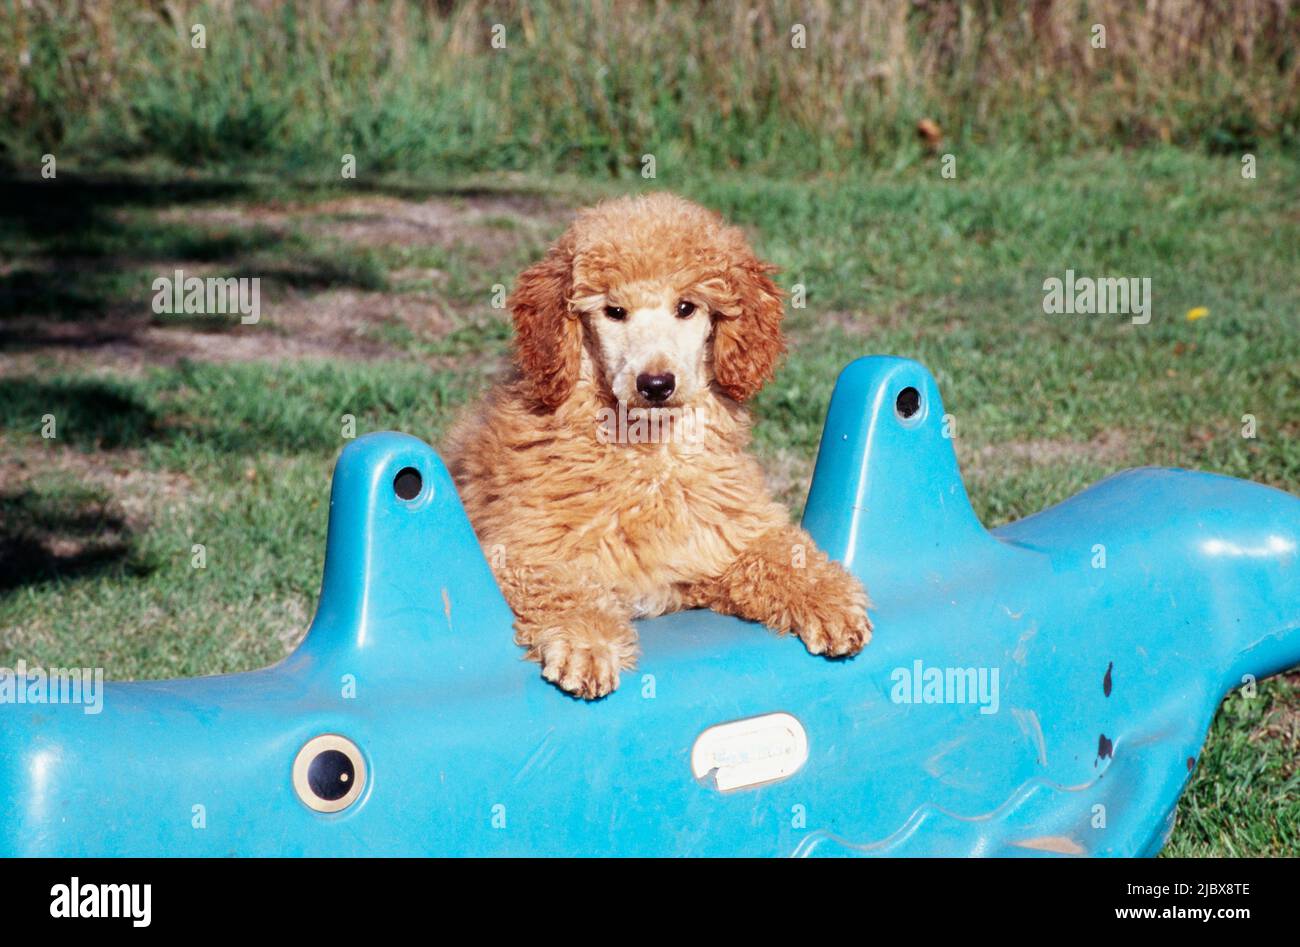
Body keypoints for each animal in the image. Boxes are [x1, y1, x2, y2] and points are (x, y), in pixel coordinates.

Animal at [447, 192, 873, 697]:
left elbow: (782, 554)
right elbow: (566, 588)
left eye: (686, 307)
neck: (646, 453)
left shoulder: (722, 542)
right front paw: (586, 642)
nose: (655, 384)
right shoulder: (520, 552)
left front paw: (830, 600)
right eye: (613, 311)